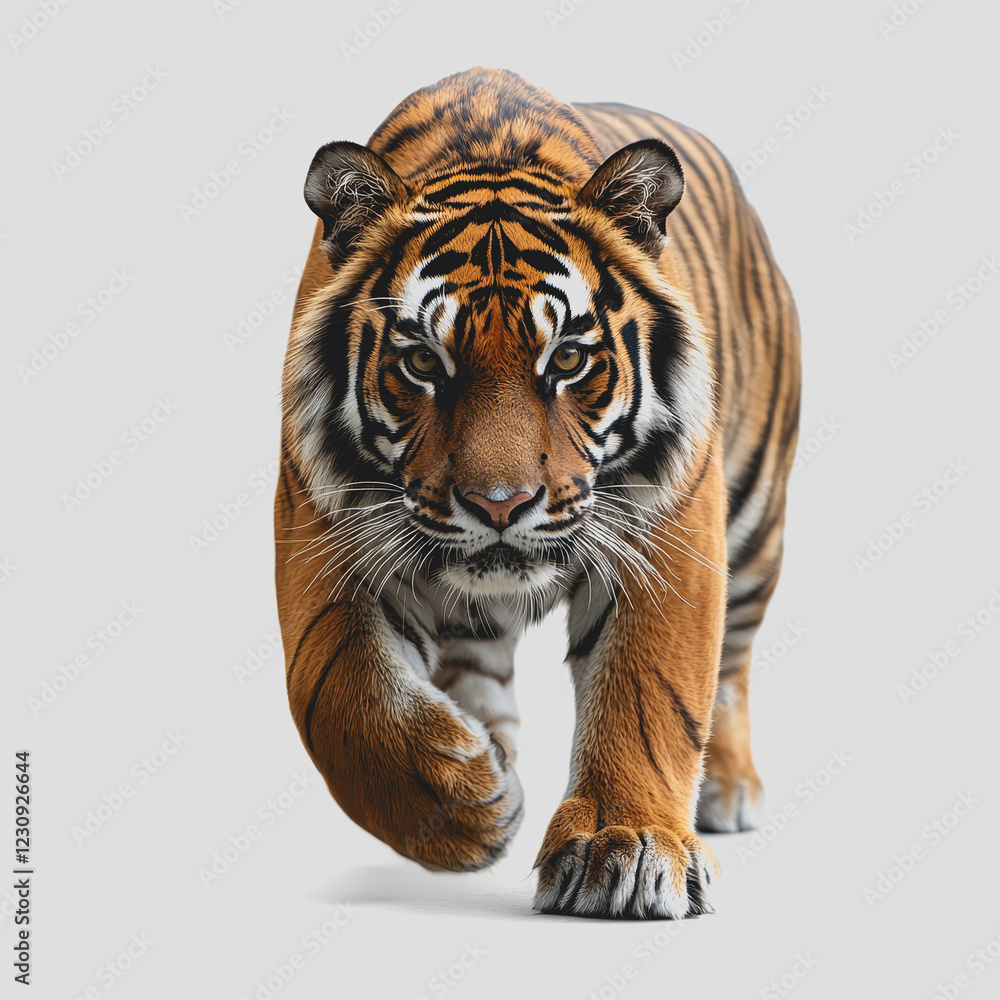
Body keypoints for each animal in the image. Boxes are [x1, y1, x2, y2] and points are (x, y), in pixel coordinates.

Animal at [274, 67, 800, 919]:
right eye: (423, 362)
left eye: (570, 359)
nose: (499, 504)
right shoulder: (319, 529)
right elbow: (342, 698)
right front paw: (464, 808)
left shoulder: (668, 525)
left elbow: (649, 691)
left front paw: (626, 846)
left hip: (757, 516)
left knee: (733, 665)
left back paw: (723, 790)